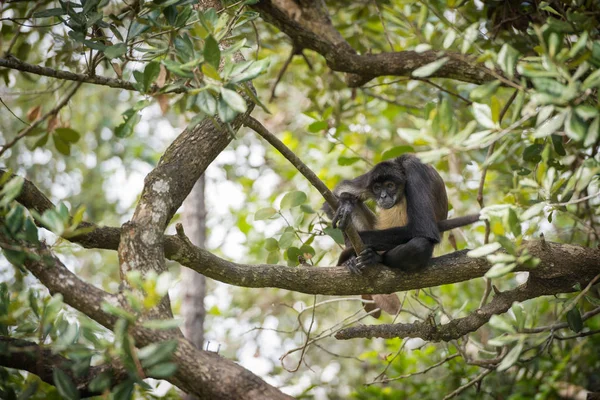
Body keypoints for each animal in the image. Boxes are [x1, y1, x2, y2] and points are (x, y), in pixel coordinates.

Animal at [328, 154, 478, 276]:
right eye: (377, 188)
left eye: (390, 186)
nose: (383, 196)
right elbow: (340, 190)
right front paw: (346, 203)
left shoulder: (414, 168)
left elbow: (424, 229)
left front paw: (353, 242)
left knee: (420, 245)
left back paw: (376, 258)